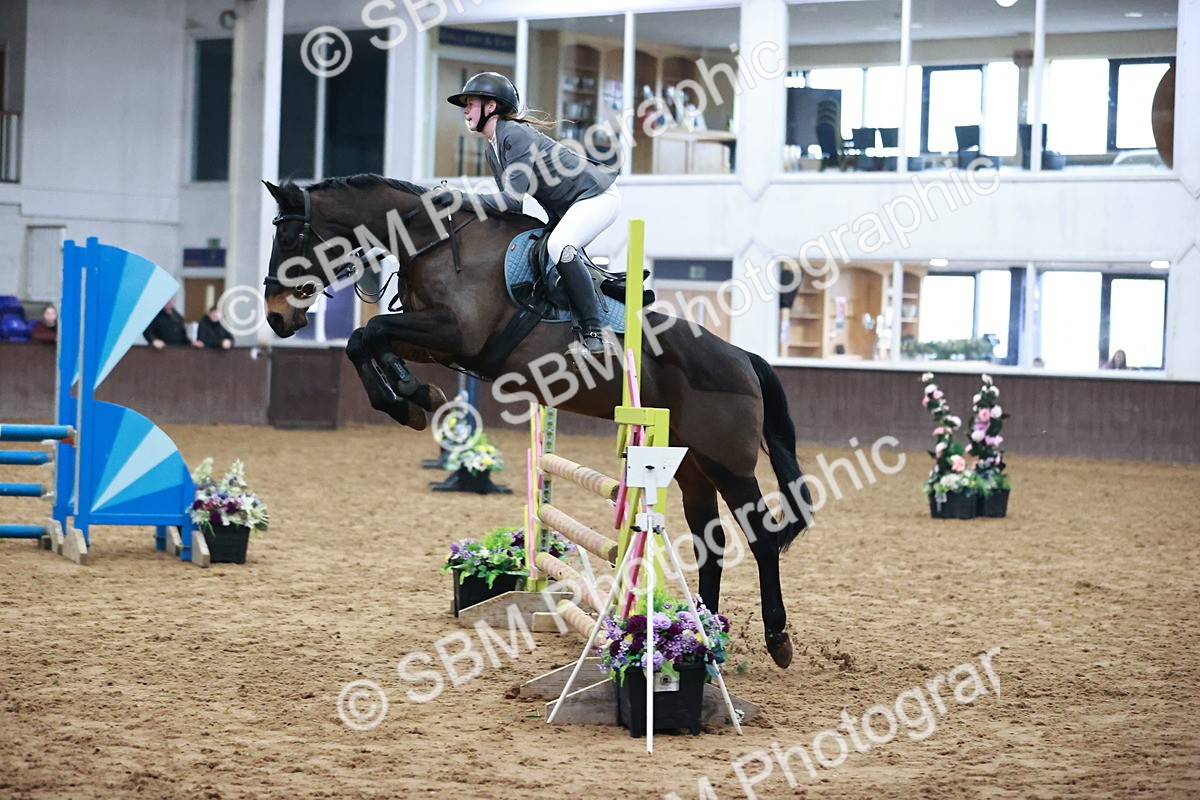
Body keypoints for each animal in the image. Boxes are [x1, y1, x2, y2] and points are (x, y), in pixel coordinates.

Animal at [261, 174, 813, 668]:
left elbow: (370, 332)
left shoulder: (455, 332)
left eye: (288, 238)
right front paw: (414, 400)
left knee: (761, 537)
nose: (275, 318)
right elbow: (367, 340)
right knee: (709, 543)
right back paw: (706, 631)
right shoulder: (431, 338)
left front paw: (408, 400)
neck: (432, 243)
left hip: (729, 466)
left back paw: (776, 638)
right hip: (692, 467)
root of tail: (743, 357)